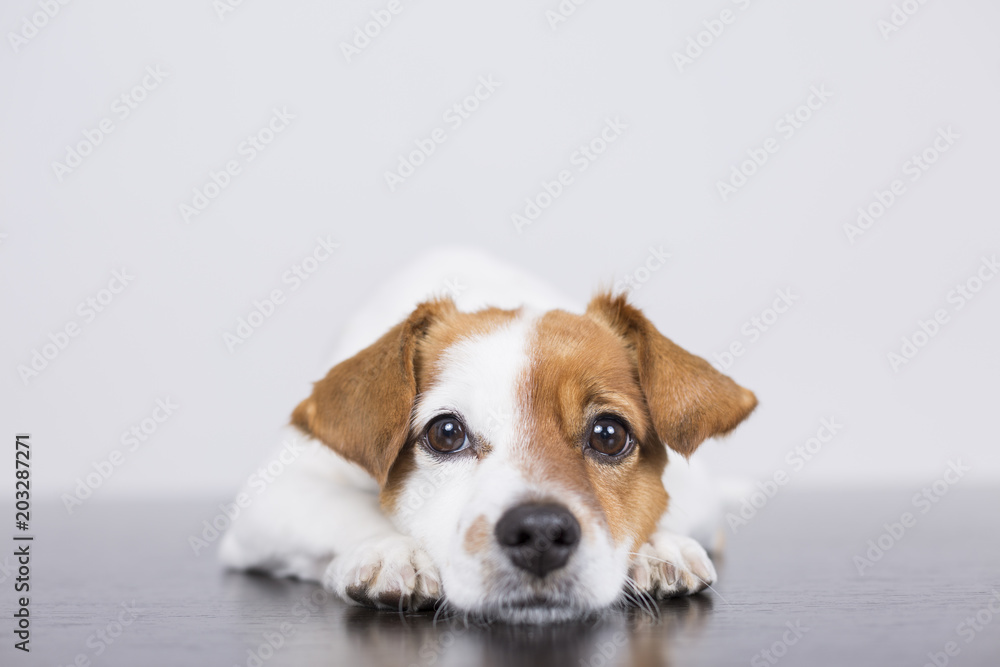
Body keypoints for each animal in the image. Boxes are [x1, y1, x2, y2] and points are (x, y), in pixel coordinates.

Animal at [217, 250, 752, 628]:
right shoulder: (275, 493)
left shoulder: (697, 491)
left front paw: (659, 547)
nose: (540, 533)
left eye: (608, 434)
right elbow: (351, 508)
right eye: (446, 432)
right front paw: (390, 550)